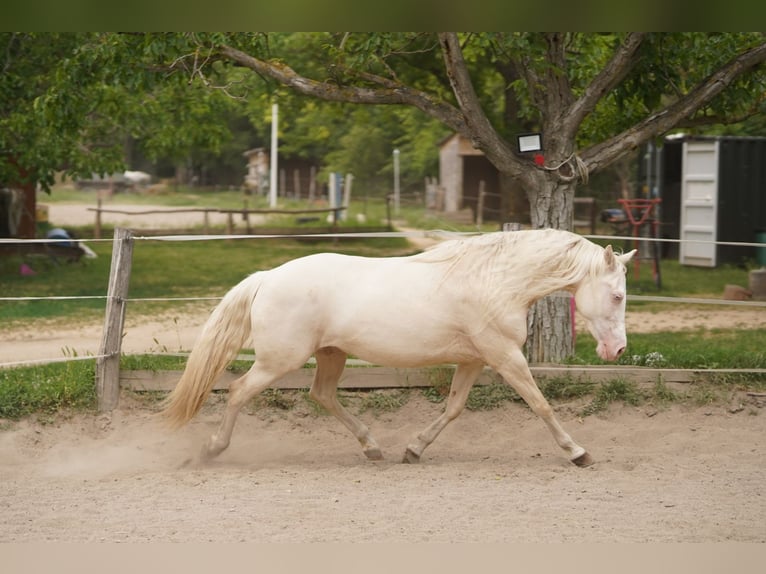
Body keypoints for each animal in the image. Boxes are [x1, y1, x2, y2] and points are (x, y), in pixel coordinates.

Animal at [160, 228, 635, 467]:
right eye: (617, 296)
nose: (617, 351)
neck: (496, 281)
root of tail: (267, 276)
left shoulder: (474, 360)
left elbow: (453, 409)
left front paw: (414, 450)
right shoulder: (504, 356)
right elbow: (541, 404)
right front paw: (578, 453)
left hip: (331, 355)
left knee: (322, 395)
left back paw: (373, 448)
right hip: (280, 360)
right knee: (239, 391)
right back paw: (211, 450)